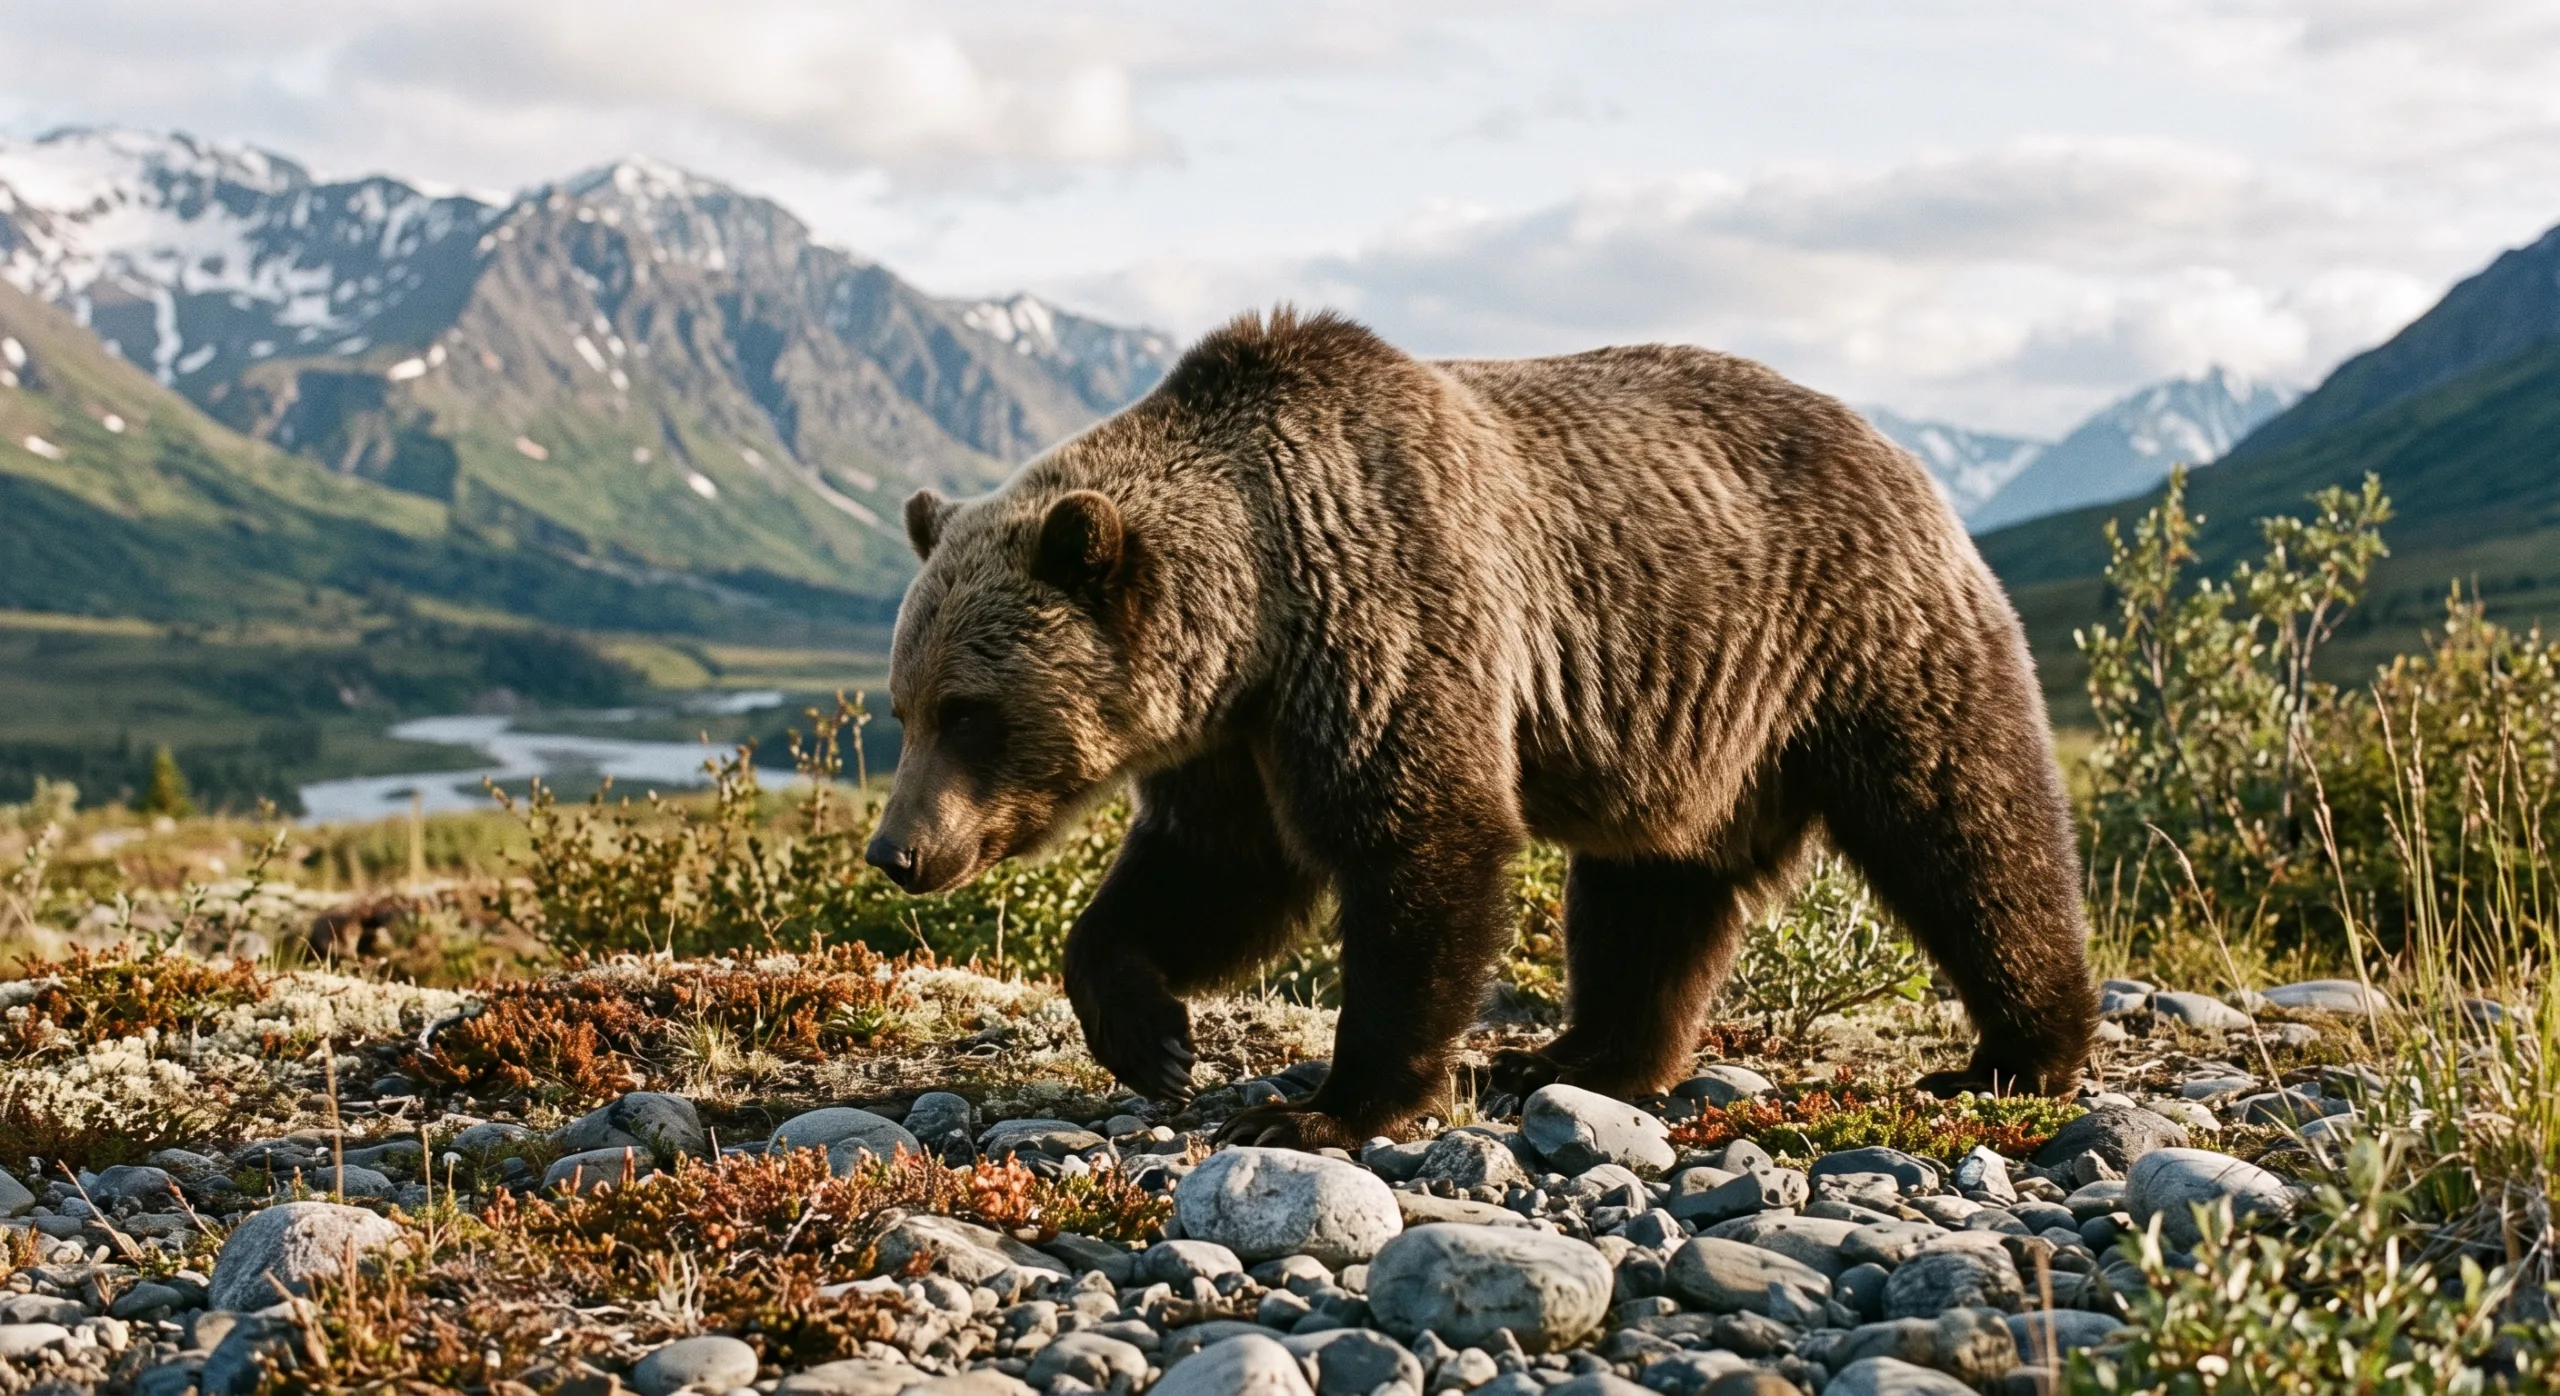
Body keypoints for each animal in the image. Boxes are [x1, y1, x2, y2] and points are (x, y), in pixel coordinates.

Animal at [865, 308, 2096, 1150]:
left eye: (970, 712)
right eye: (903, 706)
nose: (898, 851)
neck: (1257, 610)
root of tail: (1899, 454)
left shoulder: (1386, 618)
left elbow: (1418, 846)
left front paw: (1326, 1106)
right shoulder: (1236, 736)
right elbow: (1214, 874)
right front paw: (1152, 1033)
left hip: (1860, 642)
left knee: (1964, 824)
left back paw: (2017, 1053)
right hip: (1692, 721)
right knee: (1650, 892)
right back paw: (1575, 1055)